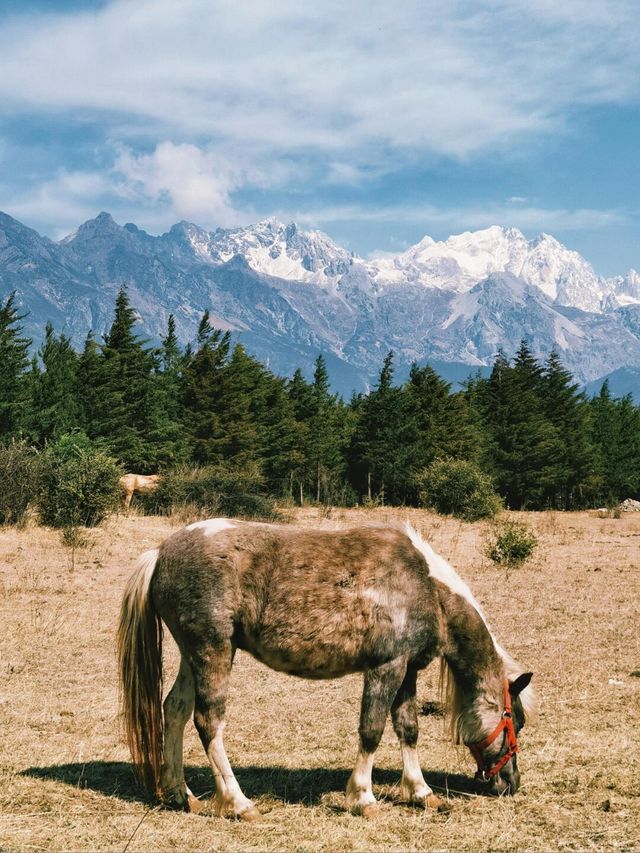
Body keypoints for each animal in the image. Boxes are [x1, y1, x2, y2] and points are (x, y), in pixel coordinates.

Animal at [117, 520, 536, 820]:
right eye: (514, 719)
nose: (512, 782)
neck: (425, 587)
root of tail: (161, 552)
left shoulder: (407, 672)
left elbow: (408, 730)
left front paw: (422, 793)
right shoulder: (385, 668)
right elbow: (372, 730)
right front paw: (363, 798)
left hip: (194, 655)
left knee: (174, 710)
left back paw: (179, 794)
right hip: (213, 650)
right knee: (208, 722)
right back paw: (239, 803)